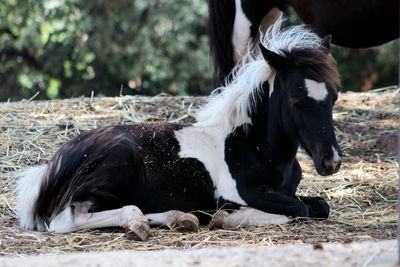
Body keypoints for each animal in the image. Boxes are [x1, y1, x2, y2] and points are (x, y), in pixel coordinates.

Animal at [15, 21, 340, 242]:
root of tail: (51, 166)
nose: (332, 162)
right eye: (297, 101)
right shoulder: (250, 193)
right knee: (66, 219)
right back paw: (141, 223)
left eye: (334, 96)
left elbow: (319, 206)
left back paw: (180, 218)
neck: (251, 147)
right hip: (119, 158)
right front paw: (225, 217)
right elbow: (296, 209)